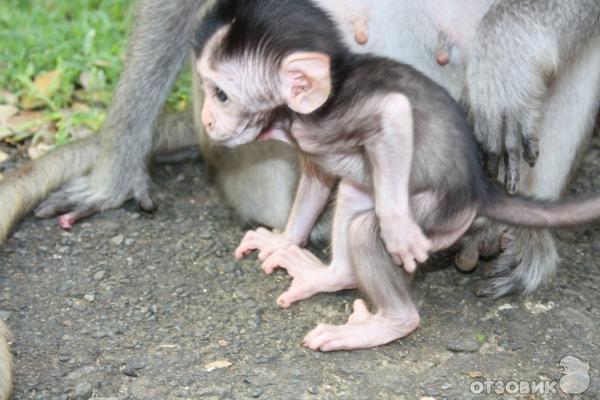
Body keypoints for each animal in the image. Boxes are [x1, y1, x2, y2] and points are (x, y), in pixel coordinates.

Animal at [195, 0, 600, 350]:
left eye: (221, 94)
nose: (206, 119)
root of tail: (479, 191)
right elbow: (318, 178)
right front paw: (285, 239)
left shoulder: (332, 118)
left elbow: (393, 113)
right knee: (355, 191)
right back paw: (335, 275)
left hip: (443, 216)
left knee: (366, 229)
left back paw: (393, 319)